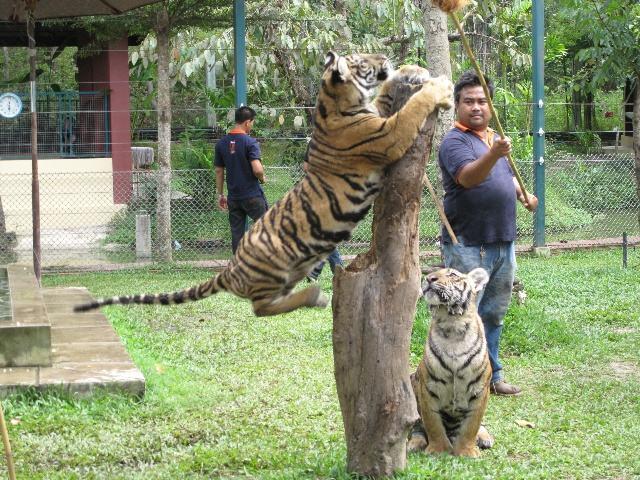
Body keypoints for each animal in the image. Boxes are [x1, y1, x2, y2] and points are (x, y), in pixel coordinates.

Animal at [75, 52, 456, 316]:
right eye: (362, 62)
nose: (385, 60)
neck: (331, 104)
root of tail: (230, 269)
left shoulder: (379, 114)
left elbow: (390, 93)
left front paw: (411, 70)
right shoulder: (388, 135)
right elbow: (412, 108)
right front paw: (438, 85)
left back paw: (314, 296)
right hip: (276, 267)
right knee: (259, 308)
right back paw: (314, 296)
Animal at [408, 266, 492, 458]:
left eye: (453, 275)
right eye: (433, 273)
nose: (429, 278)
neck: (452, 323)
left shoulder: (480, 391)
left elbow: (472, 426)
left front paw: (467, 452)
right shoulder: (428, 389)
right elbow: (433, 425)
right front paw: (438, 450)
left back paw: (485, 439)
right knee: (417, 428)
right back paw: (414, 444)